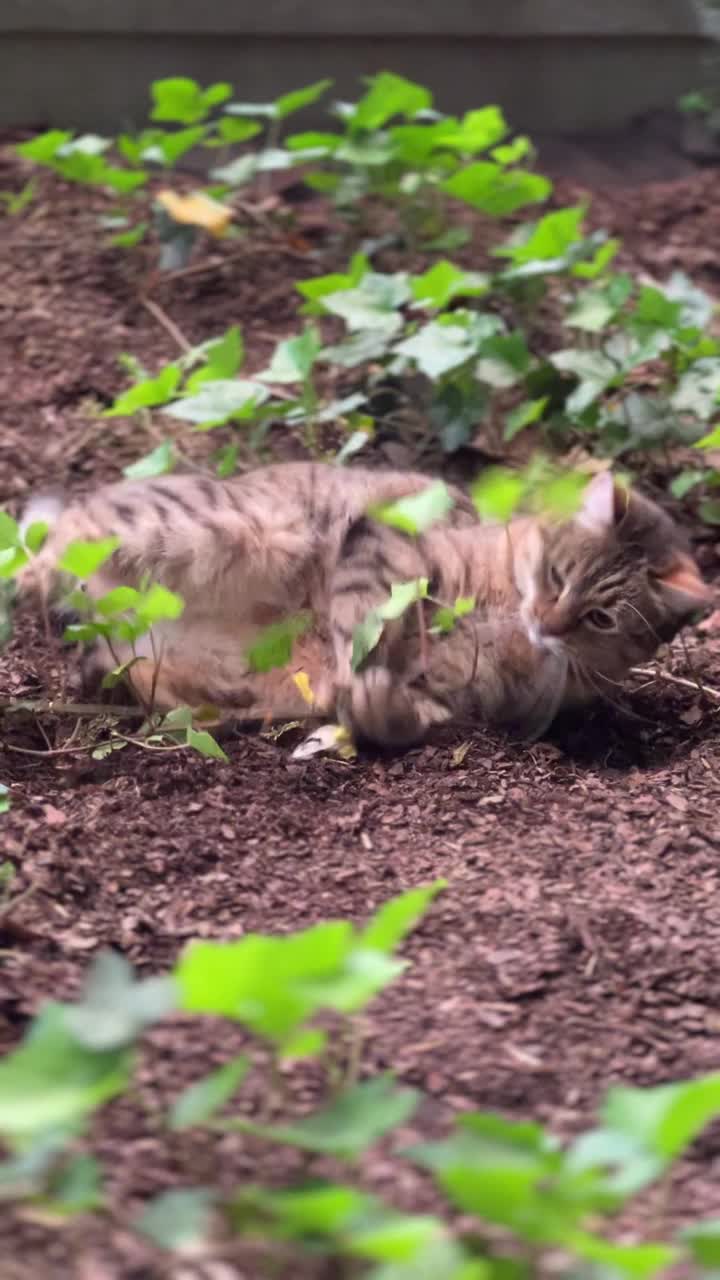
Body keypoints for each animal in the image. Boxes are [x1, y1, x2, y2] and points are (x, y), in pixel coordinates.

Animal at [18, 463, 712, 747]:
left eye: (600, 619)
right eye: (557, 574)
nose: (547, 622)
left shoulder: (473, 702)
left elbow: (408, 711)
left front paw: (376, 709)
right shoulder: (388, 545)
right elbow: (366, 628)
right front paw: (358, 683)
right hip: (227, 527)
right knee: (48, 543)